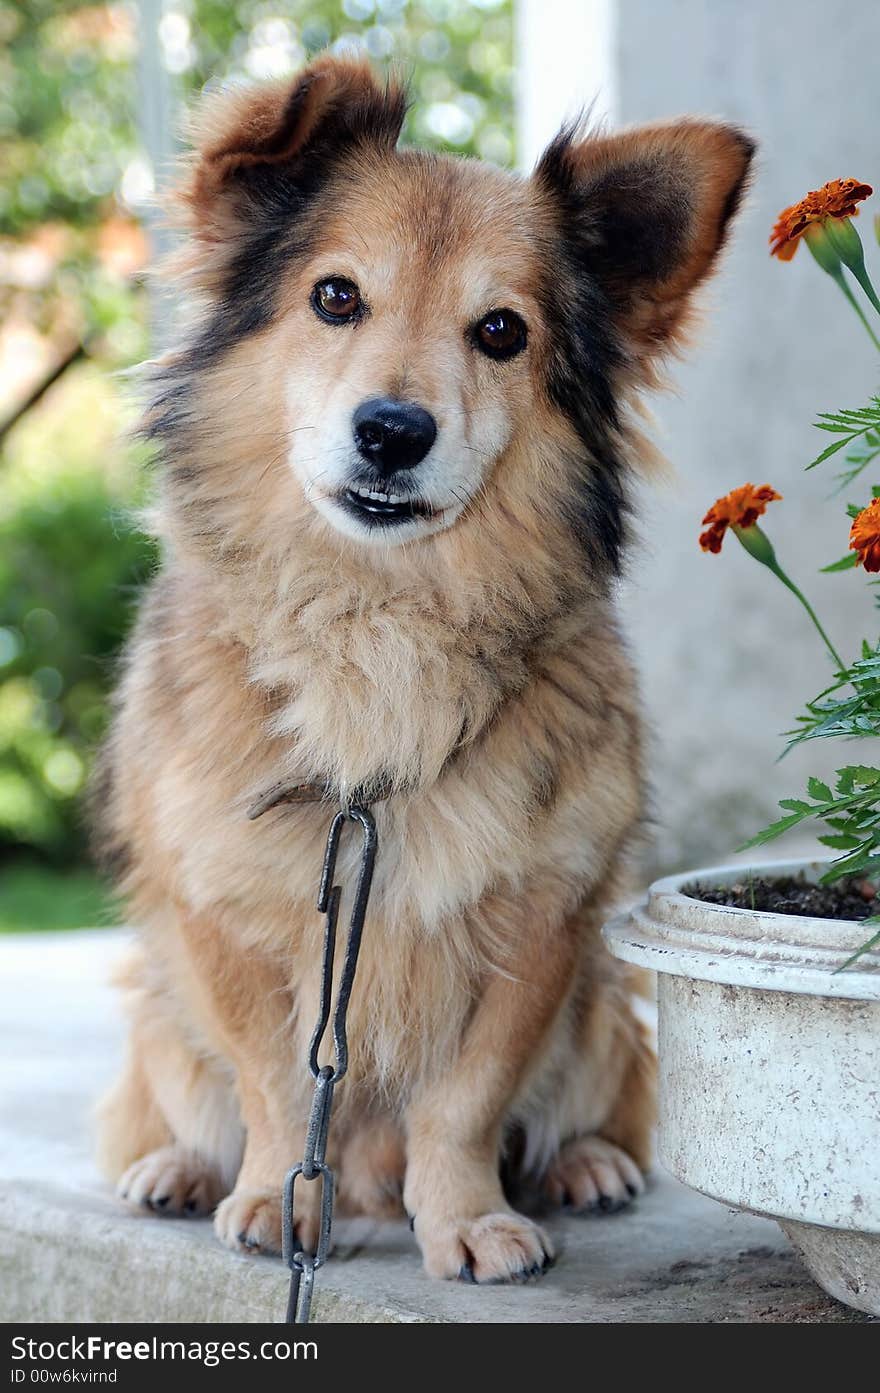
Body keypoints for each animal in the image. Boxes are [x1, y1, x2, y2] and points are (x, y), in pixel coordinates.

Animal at [94, 62, 757, 1281]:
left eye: (500, 331)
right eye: (335, 297)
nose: (393, 432)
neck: (380, 617)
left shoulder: (541, 920)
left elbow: (465, 1098)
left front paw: (465, 1218)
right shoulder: (222, 915)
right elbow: (273, 1083)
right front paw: (277, 1197)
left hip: (603, 1008)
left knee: (585, 1108)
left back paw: (582, 1166)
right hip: (159, 1013)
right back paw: (179, 1170)